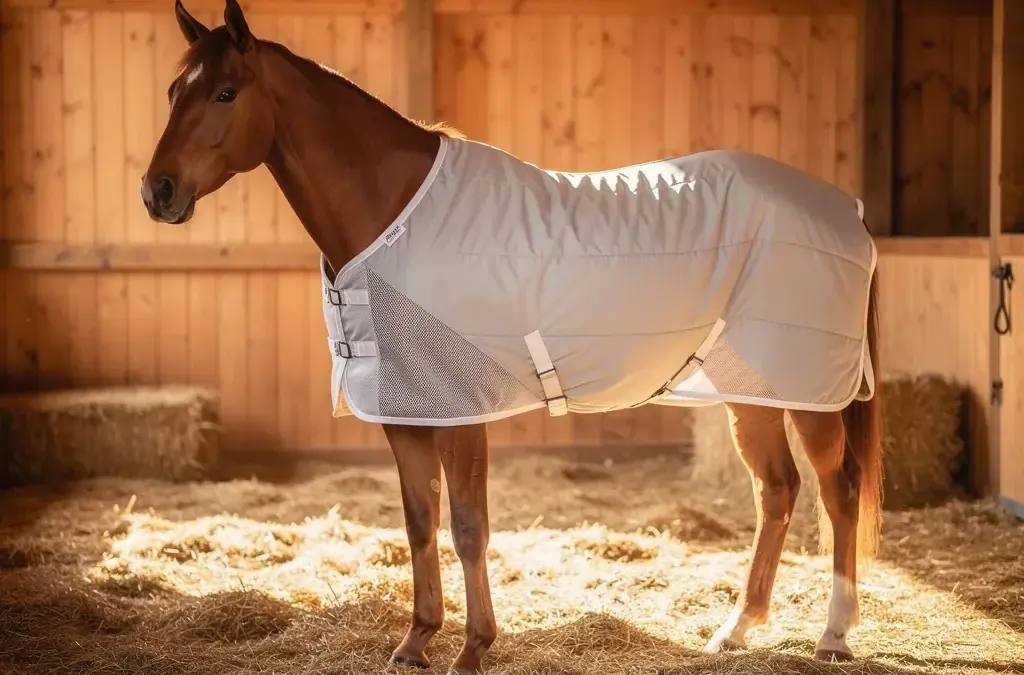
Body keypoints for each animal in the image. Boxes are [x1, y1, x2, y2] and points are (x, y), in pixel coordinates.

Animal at [141, 2, 884, 673]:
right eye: (174, 91)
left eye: (226, 92)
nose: (158, 191)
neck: (396, 214)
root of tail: (847, 209)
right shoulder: (408, 412)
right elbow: (420, 521)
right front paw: (415, 642)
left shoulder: (461, 412)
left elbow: (469, 526)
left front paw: (473, 648)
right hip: (753, 390)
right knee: (777, 490)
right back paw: (735, 630)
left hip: (810, 392)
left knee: (838, 491)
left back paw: (834, 636)